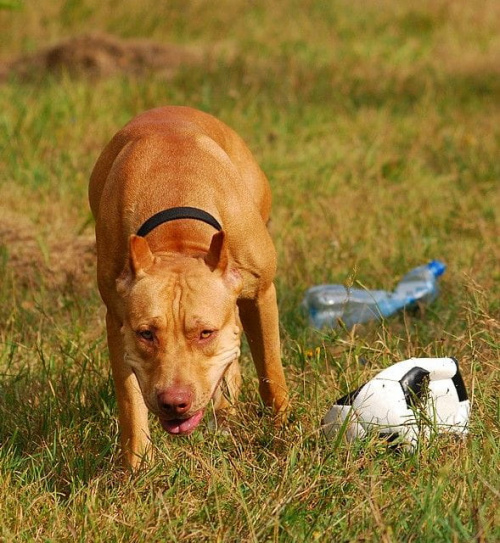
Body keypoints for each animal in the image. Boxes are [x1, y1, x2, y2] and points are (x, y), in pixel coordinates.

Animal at [88, 107, 288, 472]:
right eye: (146, 334)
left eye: (205, 333)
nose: (174, 402)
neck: (178, 237)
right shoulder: (118, 322)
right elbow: (130, 400)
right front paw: (136, 467)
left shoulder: (261, 294)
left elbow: (270, 369)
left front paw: (282, 431)